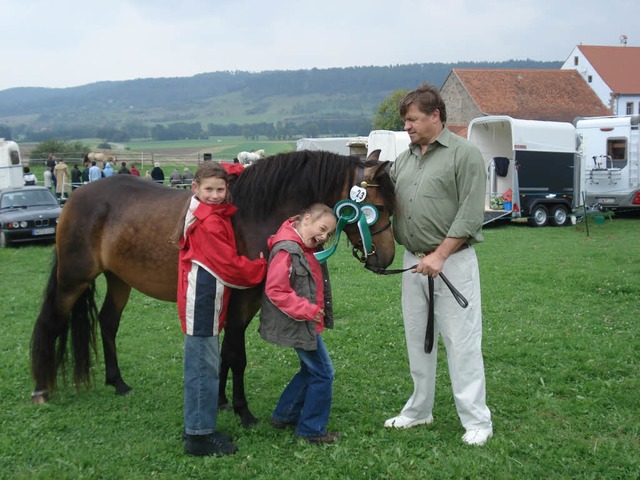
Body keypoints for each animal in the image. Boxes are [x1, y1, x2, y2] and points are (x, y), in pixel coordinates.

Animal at [33, 148, 400, 426]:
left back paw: (117, 382)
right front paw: (242, 411)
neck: (253, 213)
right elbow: (237, 355)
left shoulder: (243, 303)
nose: (385, 258)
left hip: (119, 280)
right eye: (378, 208)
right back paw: (41, 390)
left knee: (108, 323)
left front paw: (221, 401)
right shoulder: (241, 301)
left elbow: (225, 353)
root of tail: (75, 197)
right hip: (72, 280)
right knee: (50, 323)